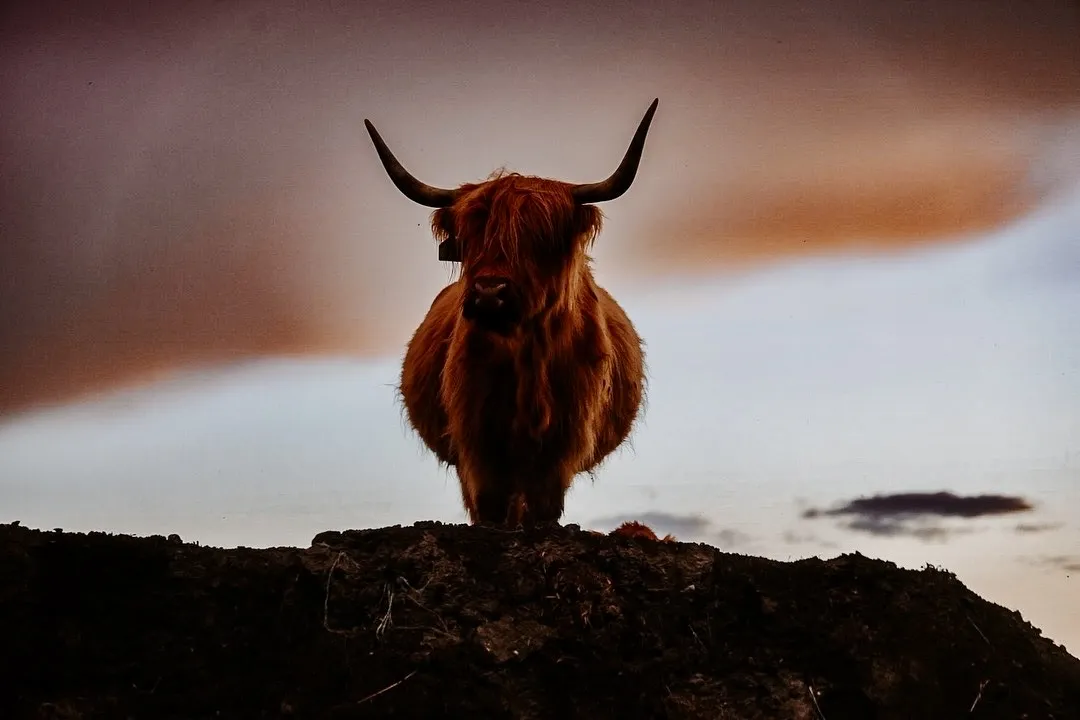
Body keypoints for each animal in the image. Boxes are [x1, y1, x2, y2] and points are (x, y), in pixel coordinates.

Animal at [365, 99, 659, 531]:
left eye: (542, 238)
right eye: (470, 239)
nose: (489, 294)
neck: (528, 357)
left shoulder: (562, 445)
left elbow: (543, 508)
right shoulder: (477, 441)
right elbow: (488, 505)